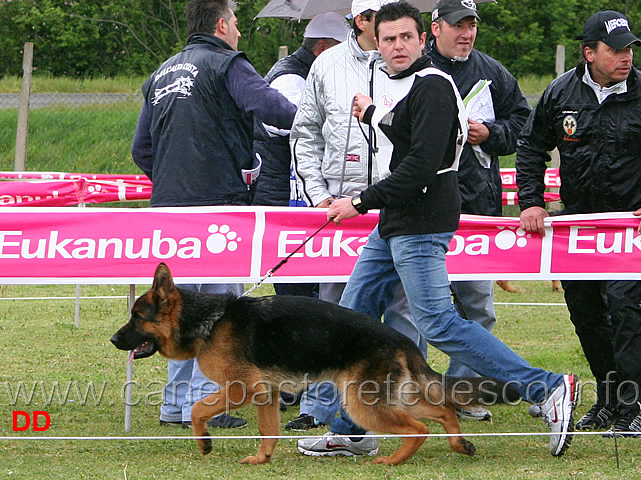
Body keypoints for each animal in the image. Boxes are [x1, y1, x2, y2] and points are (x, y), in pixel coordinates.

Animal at [111, 262, 516, 464]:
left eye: (137, 317)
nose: (114, 340)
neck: (209, 321)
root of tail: (401, 341)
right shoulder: (266, 393)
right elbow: (269, 431)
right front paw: (262, 460)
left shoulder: (240, 389)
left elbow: (197, 409)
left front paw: (206, 444)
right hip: (387, 397)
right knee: (443, 408)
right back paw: (460, 445)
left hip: (363, 402)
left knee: (418, 428)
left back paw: (391, 462)